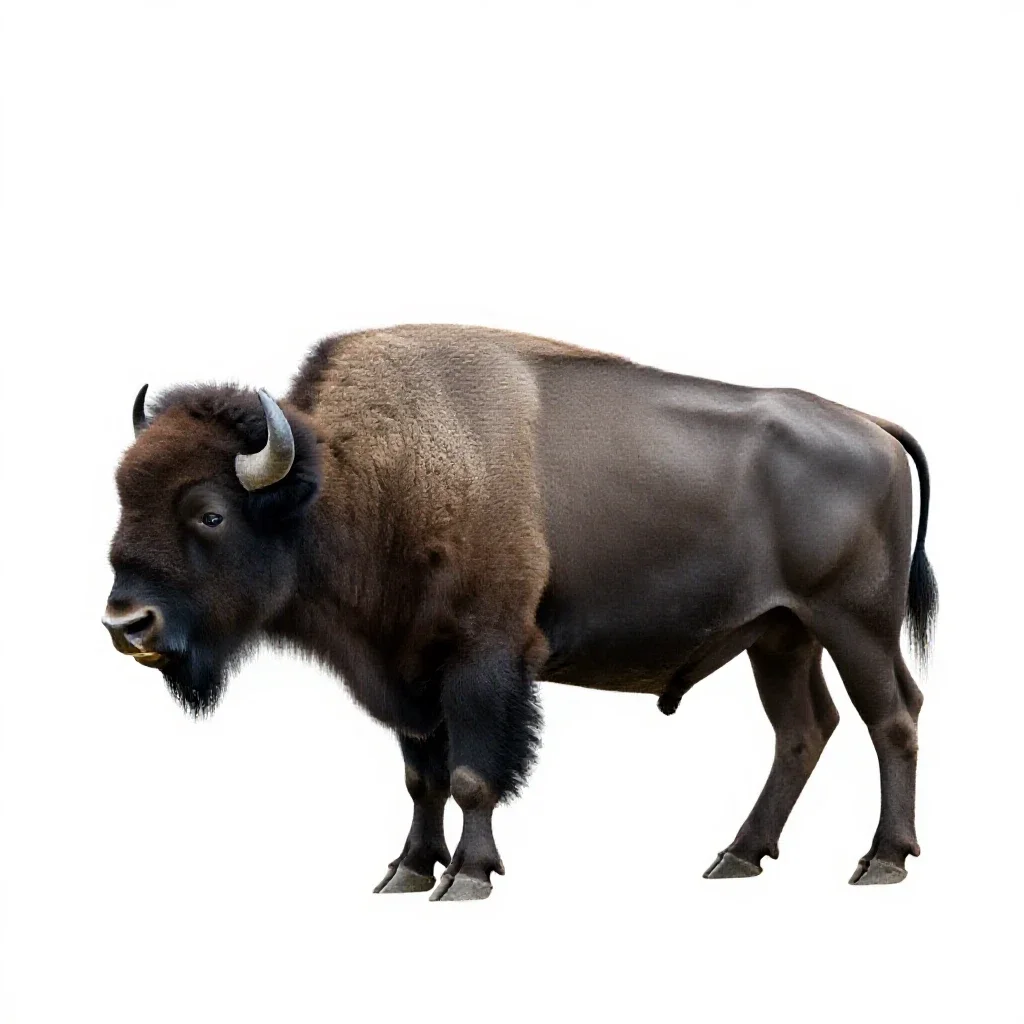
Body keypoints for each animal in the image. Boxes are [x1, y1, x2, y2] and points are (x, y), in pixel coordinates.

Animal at [104, 325, 936, 900]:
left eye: (209, 514)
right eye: (122, 496)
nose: (125, 625)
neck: (354, 478)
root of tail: (874, 427)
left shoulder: (483, 661)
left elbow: (473, 775)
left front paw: (466, 878)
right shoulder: (408, 672)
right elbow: (422, 780)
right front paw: (406, 871)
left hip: (853, 625)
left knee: (892, 720)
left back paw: (881, 861)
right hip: (781, 636)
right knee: (804, 731)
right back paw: (736, 857)